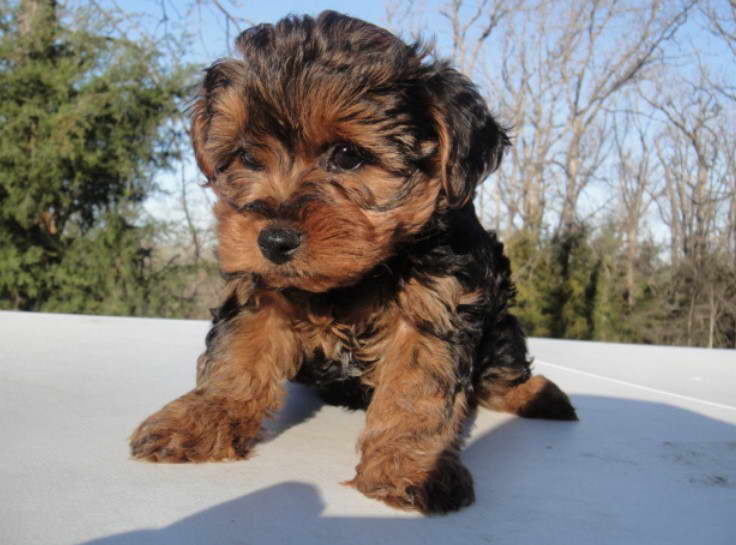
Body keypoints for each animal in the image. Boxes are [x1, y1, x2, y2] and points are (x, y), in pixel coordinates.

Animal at [129, 12, 576, 516]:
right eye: (245, 156)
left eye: (347, 156)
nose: (273, 240)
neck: (356, 278)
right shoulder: (259, 291)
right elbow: (236, 354)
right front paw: (203, 416)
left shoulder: (437, 303)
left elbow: (416, 390)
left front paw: (408, 466)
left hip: (499, 323)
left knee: (503, 367)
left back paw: (538, 395)